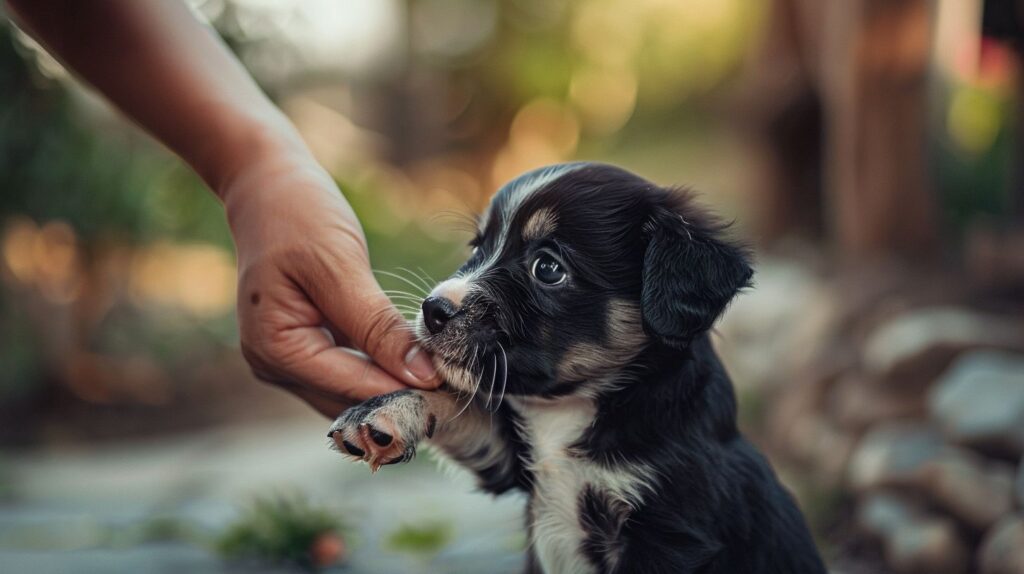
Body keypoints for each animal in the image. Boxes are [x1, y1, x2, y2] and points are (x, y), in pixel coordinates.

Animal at [327, 162, 823, 572]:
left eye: (548, 268)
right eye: (478, 247)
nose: (433, 310)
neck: (569, 410)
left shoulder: (670, 533)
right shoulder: (510, 461)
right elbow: (457, 402)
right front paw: (384, 415)